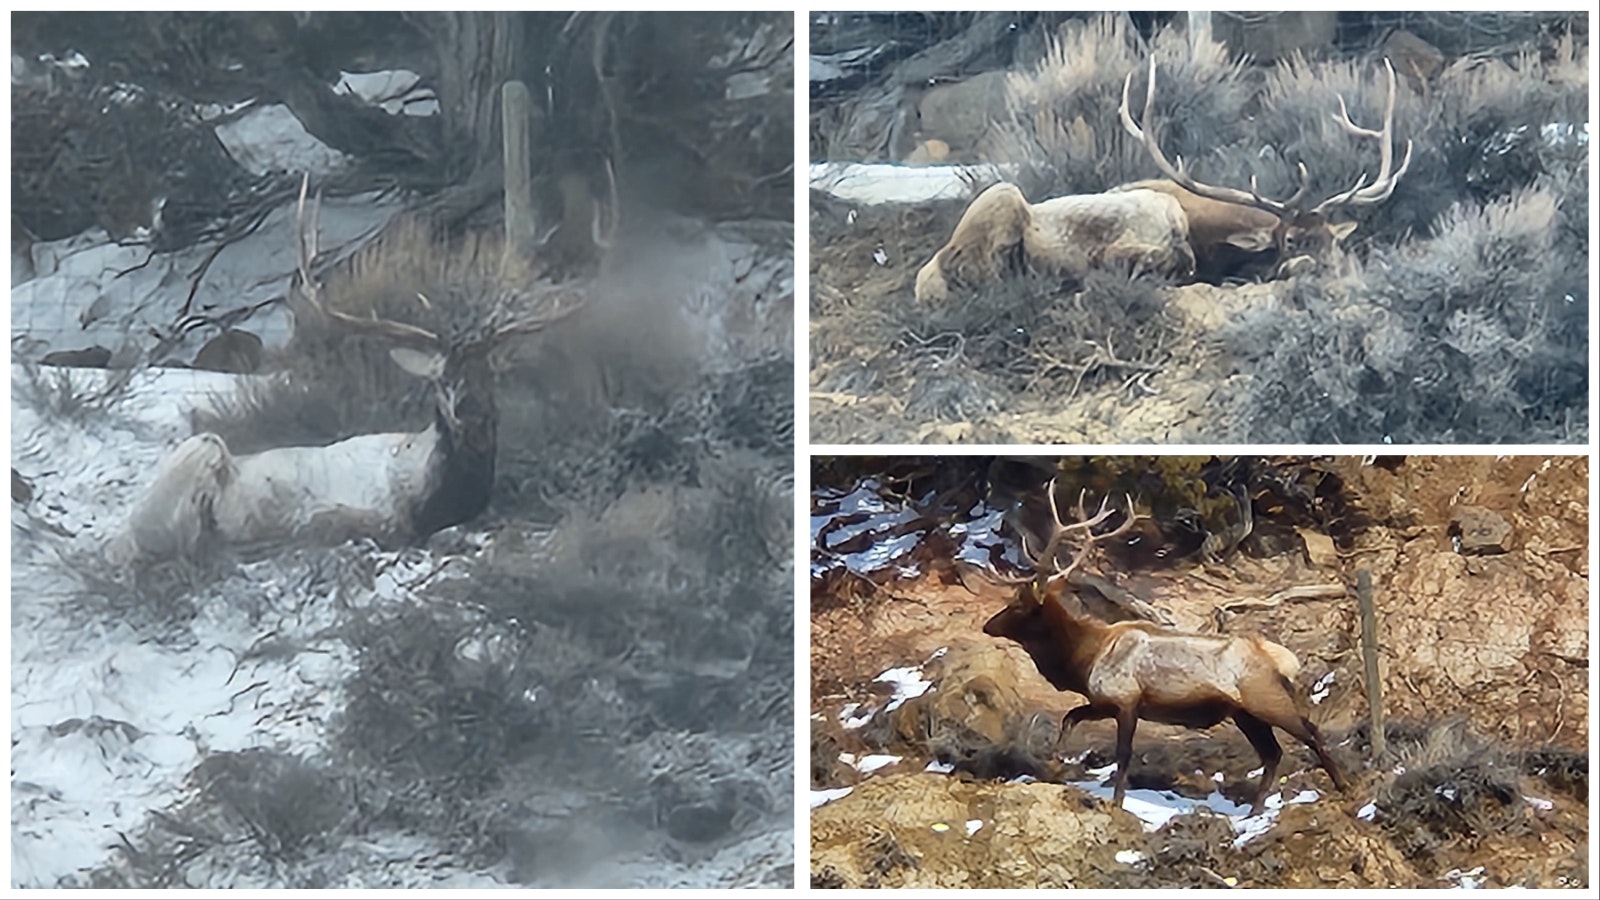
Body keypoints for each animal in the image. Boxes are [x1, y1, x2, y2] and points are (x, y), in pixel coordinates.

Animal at [112, 175, 583, 563]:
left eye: (491, 374)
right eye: (442, 379)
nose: (472, 413)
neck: (436, 490)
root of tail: (127, 532)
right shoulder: (365, 512)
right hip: (201, 453)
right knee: (191, 545)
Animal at [981, 478, 1347, 816]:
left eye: (1017, 604)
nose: (987, 625)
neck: (1083, 660)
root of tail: (1284, 660)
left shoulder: (1126, 699)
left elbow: (1122, 755)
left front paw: (1117, 801)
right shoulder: (1104, 701)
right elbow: (1071, 716)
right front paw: (1057, 758)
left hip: (1266, 699)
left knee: (1310, 732)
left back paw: (1342, 785)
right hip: (1245, 713)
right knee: (1272, 753)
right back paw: (1255, 811)